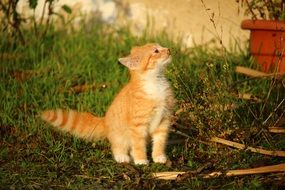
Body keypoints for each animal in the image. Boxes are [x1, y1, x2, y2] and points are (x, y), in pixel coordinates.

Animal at [40, 43, 173, 165]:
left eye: (161, 46)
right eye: (156, 51)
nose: (169, 50)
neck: (156, 83)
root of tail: (105, 120)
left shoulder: (163, 120)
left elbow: (160, 141)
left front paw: (158, 156)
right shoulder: (137, 125)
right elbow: (138, 144)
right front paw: (141, 160)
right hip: (119, 135)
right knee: (118, 146)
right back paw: (122, 156)